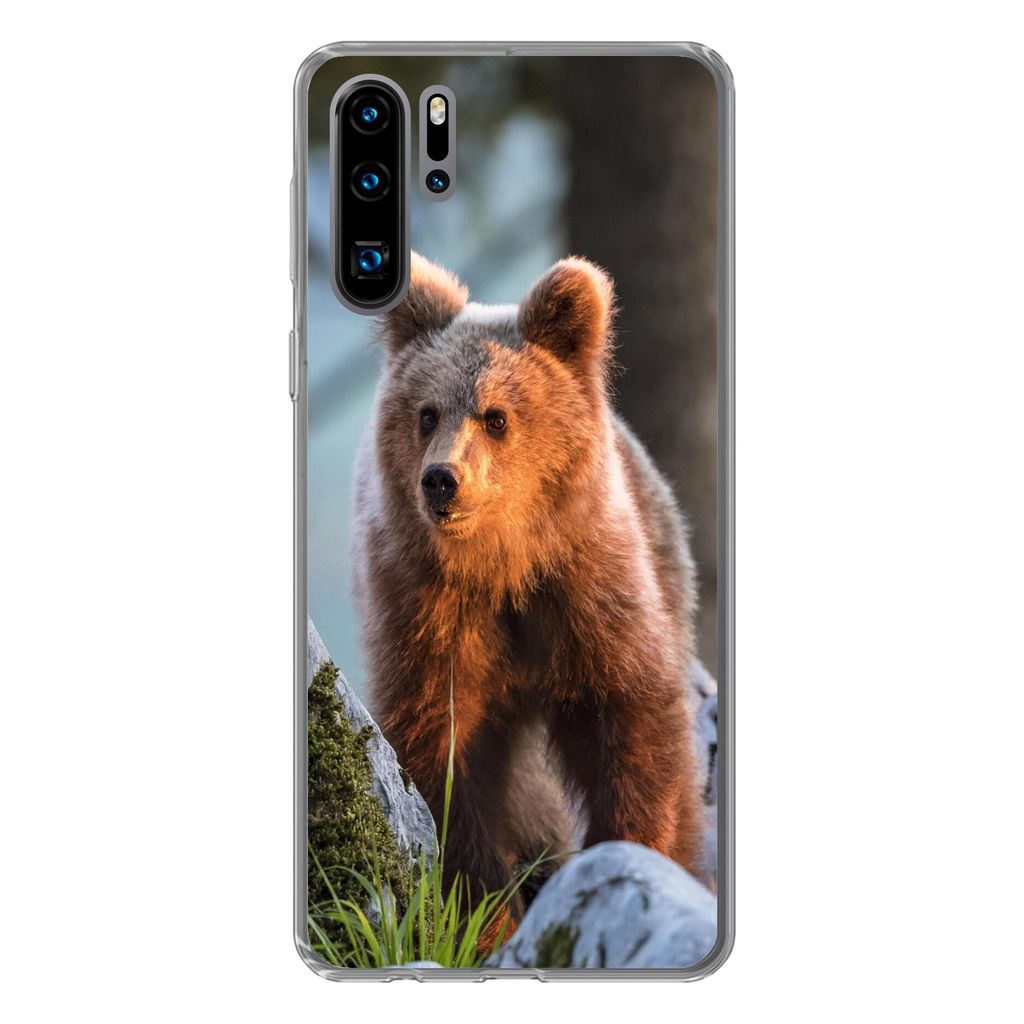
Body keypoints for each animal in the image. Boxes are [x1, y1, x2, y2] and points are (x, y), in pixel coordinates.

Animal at [352, 252, 706, 910]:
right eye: (427, 413)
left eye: (496, 417)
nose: (442, 480)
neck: (503, 565)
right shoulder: (427, 610)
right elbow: (443, 752)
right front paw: (488, 903)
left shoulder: (587, 586)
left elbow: (633, 720)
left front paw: (635, 849)